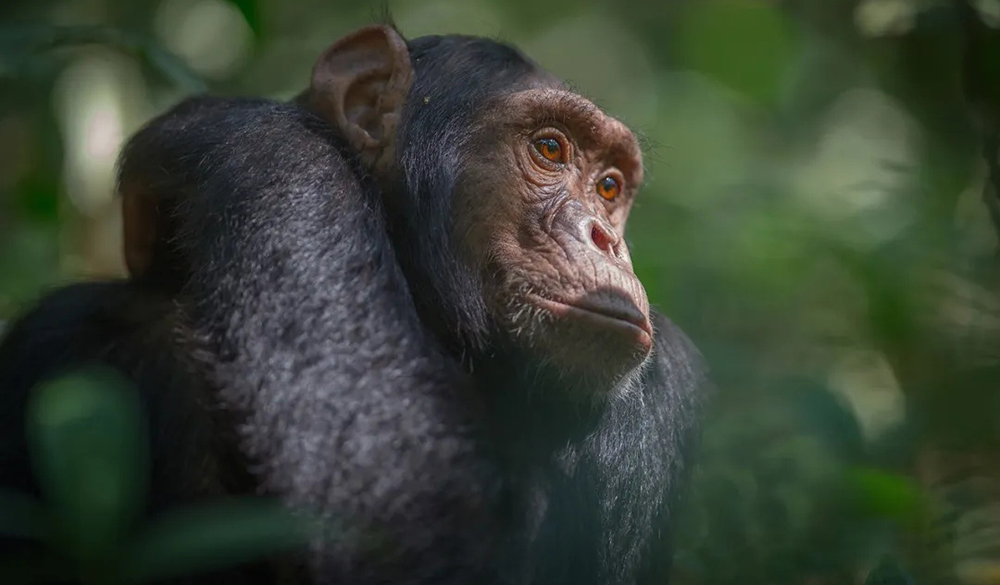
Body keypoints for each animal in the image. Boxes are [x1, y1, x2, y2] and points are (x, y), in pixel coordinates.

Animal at [0, 24, 708, 584]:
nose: (605, 237)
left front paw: (227, 127)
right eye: (551, 148)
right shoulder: (67, 339)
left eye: (609, 186)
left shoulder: (660, 384)